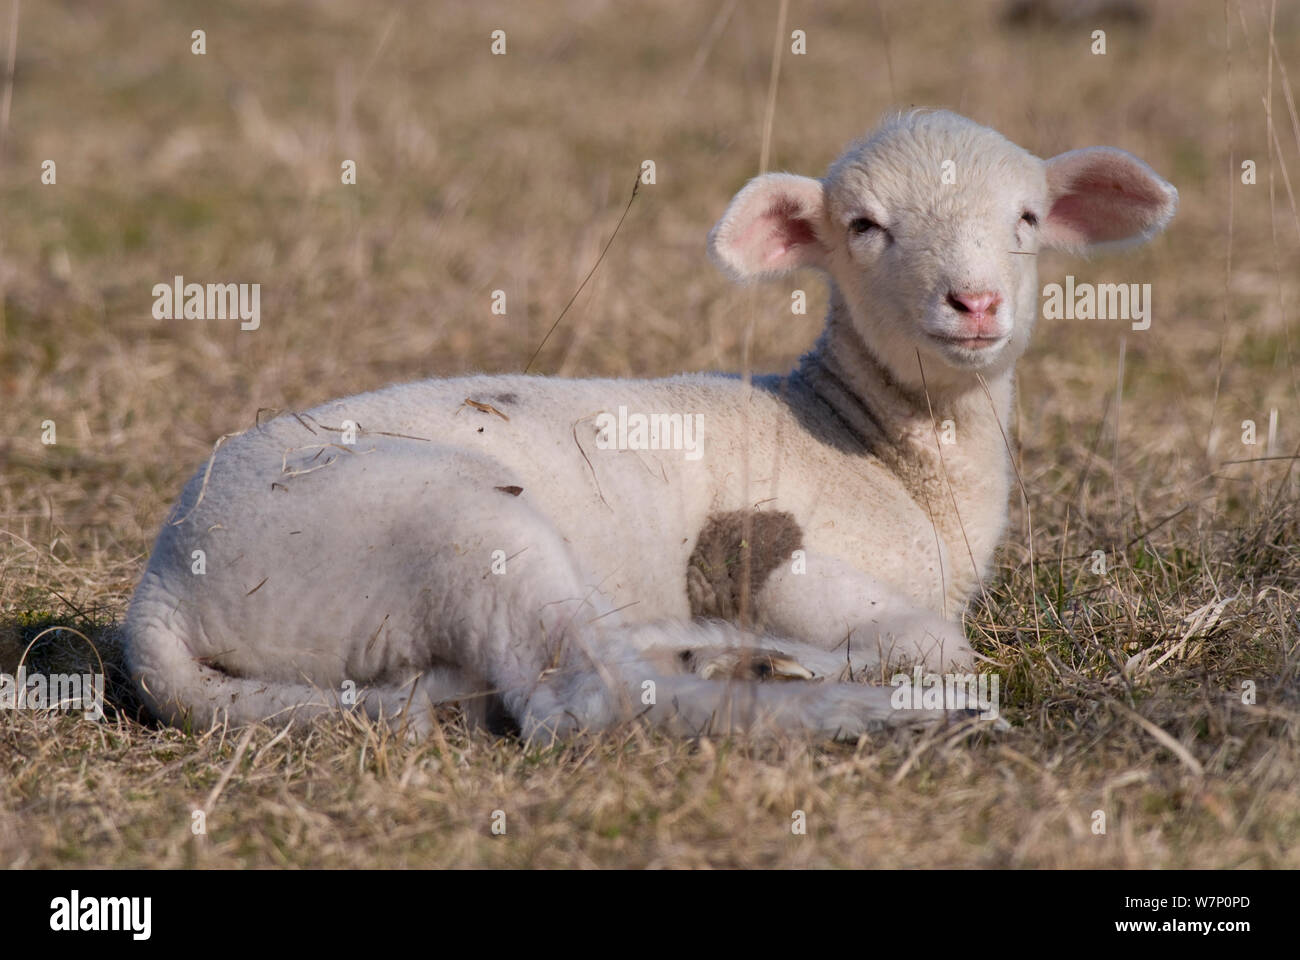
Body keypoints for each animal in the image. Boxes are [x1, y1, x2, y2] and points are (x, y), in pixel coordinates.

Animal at [122, 111, 1180, 738]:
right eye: (864, 227)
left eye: (1029, 218)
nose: (974, 303)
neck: (874, 446)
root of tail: (160, 596)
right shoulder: (771, 553)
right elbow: (935, 640)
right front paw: (895, 673)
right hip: (447, 528)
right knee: (590, 699)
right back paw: (865, 708)